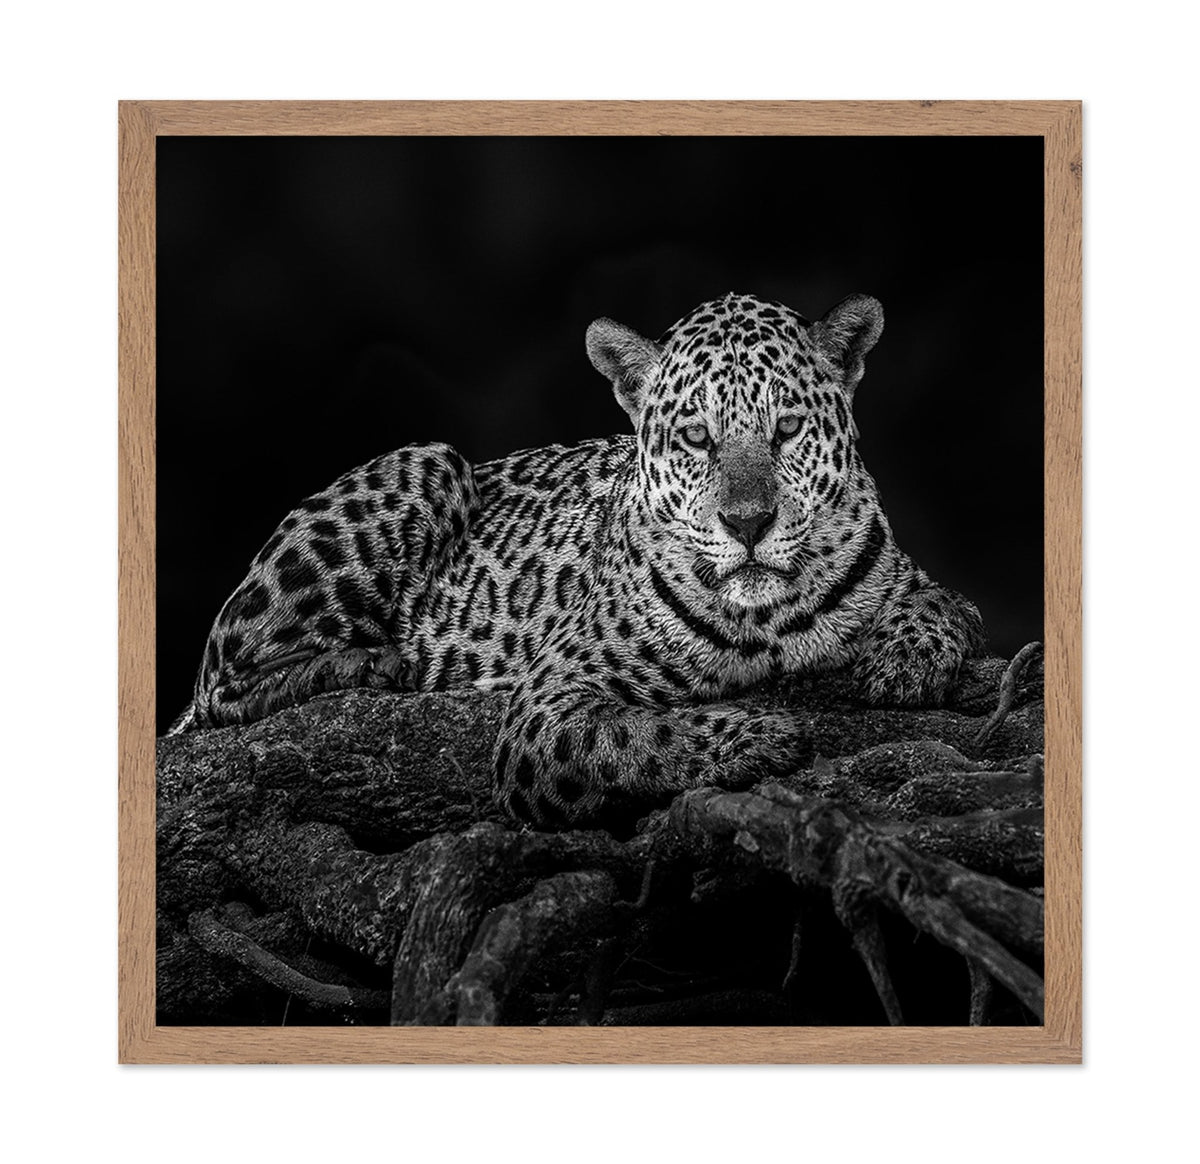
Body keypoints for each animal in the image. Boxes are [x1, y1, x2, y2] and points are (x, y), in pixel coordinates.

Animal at [170, 291, 985, 829]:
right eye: (696, 437)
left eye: (786, 428)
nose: (749, 523)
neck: (769, 618)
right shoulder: (546, 708)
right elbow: (639, 736)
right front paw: (756, 735)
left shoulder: (912, 578)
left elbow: (946, 603)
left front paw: (905, 660)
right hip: (428, 460)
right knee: (221, 685)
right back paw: (382, 663)